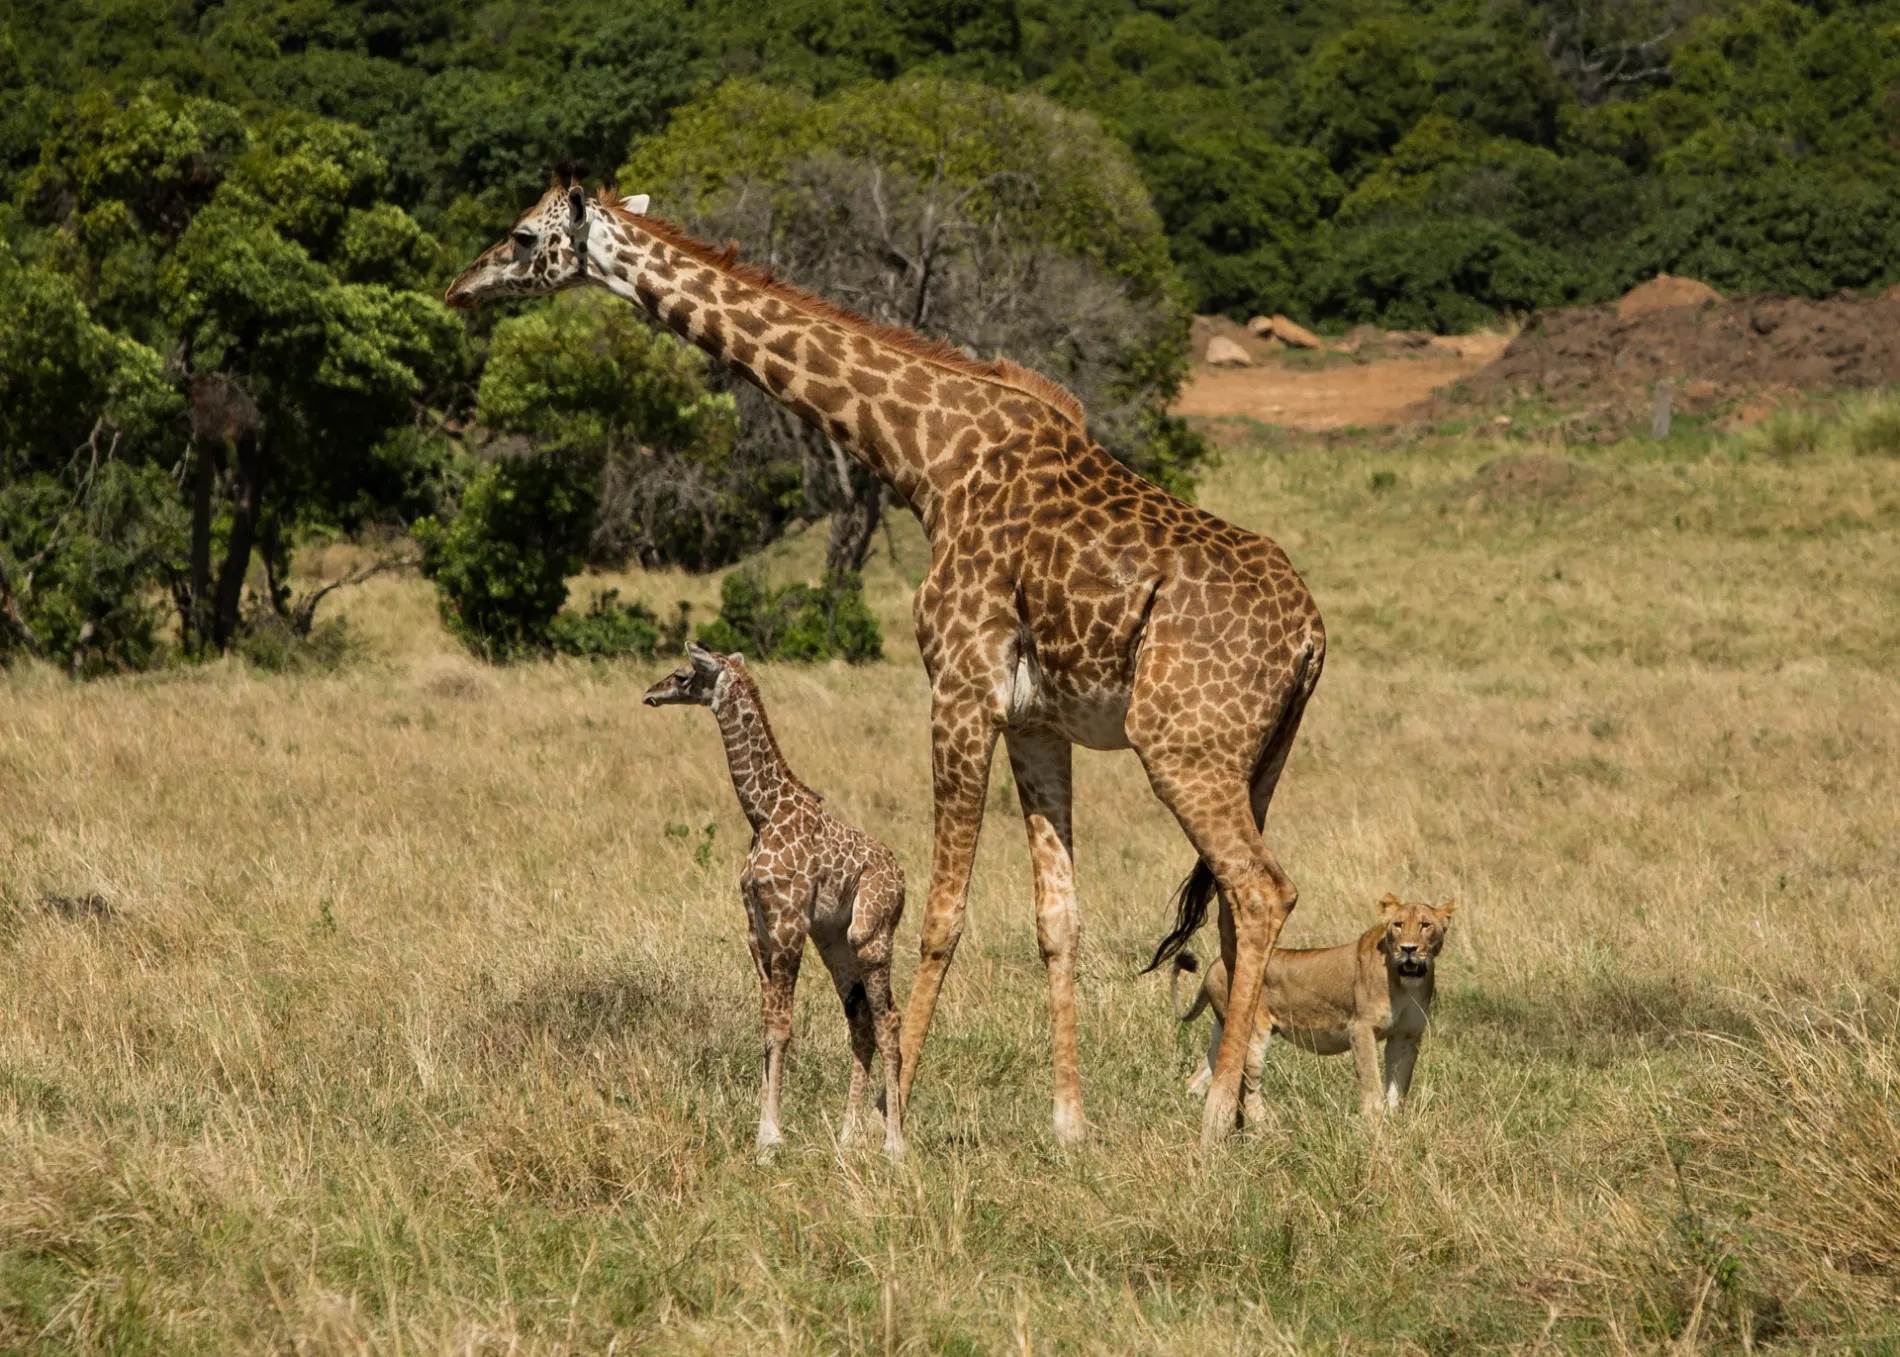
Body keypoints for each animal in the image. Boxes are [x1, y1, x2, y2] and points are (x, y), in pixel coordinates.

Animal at [646, 638, 904, 1155]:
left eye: (684, 674)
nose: (650, 693)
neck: (763, 813)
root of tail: (905, 880)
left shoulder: (787, 924)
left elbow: (783, 1026)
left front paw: (770, 1140)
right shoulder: (758, 931)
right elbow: (767, 1025)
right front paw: (763, 1129)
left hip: (871, 935)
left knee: (889, 1021)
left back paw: (894, 1145)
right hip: (834, 942)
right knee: (861, 1022)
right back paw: (847, 1136)